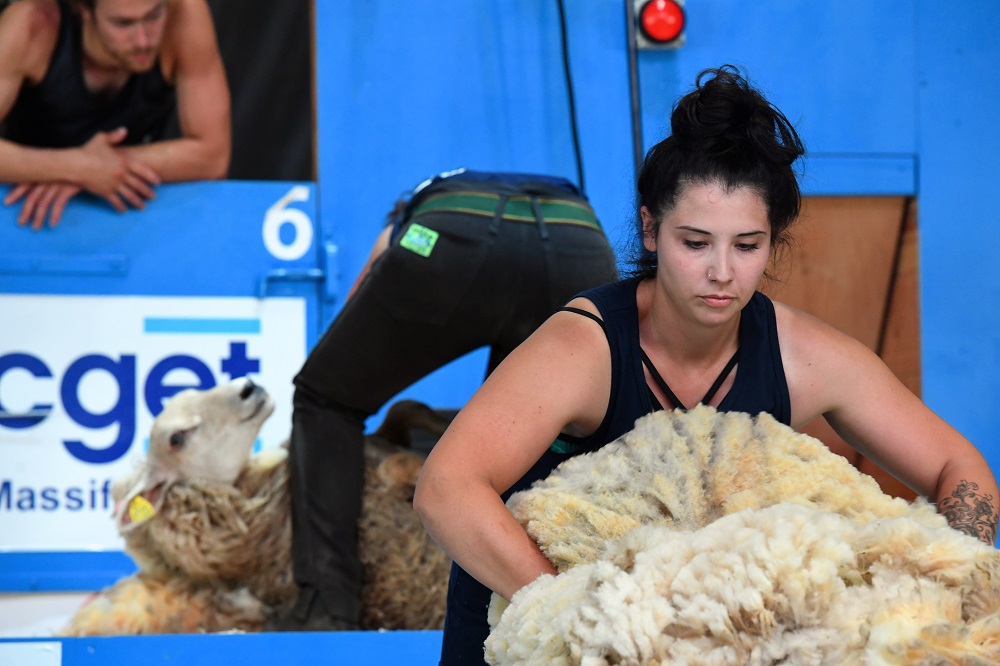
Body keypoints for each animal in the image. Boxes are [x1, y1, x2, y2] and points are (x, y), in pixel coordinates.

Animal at [59, 377, 453, 636]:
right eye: (177, 439)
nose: (247, 386)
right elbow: (403, 465)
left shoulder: (384, 439)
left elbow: (405, 409)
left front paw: (441, 421)